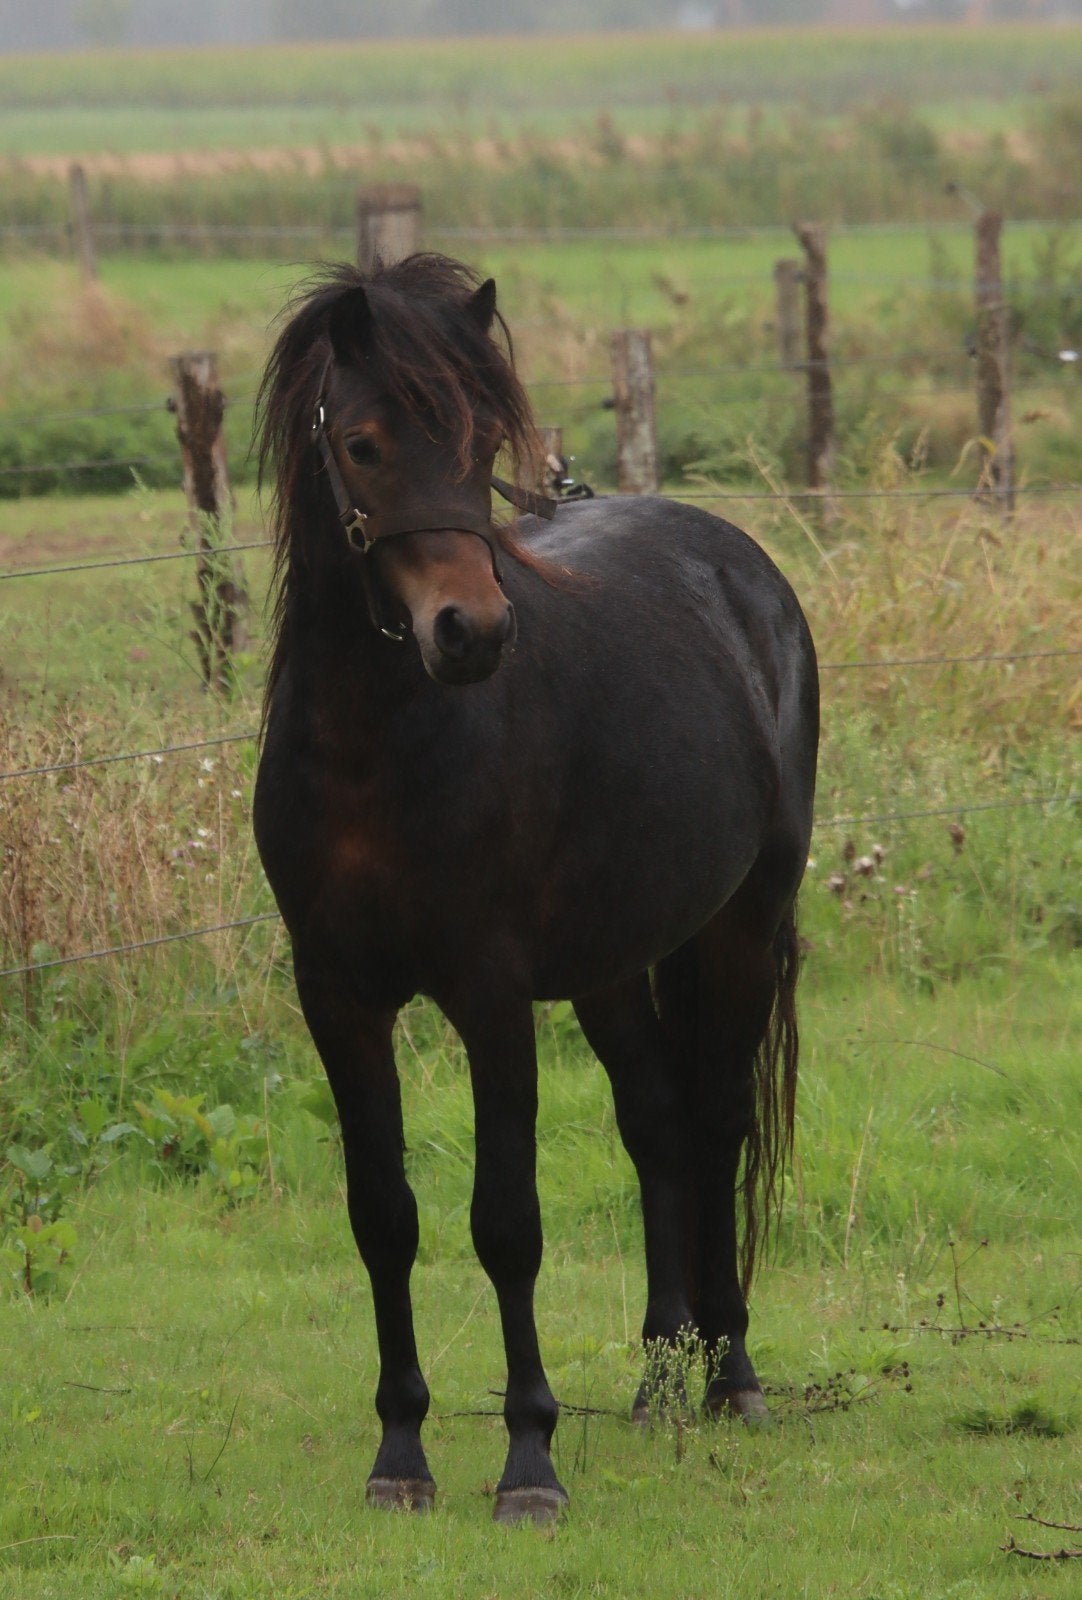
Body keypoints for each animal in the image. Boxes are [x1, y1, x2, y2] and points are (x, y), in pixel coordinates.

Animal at [253, 253, 819, 1525]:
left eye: (477, 447)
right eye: (361, 443)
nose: (468, 632)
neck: (374, 748)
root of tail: (742, 567)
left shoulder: (490, 994)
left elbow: (505, 1223)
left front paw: (528, 1461)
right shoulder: (338, 997)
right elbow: (383, 1218)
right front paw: (400, 1453)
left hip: (740, 925)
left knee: (715, 1124)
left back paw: (731, 1375)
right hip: (613, 961)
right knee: (657, 1124)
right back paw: (659, 1381)